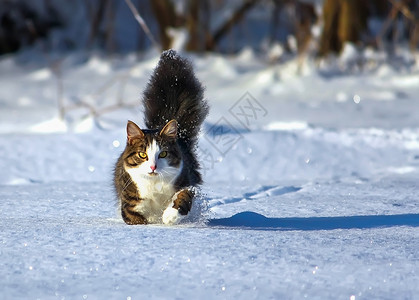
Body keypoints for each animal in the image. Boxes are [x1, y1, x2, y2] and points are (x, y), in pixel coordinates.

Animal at [114, 50, 209, 225]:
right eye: (142, 154)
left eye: (163, 154)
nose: (153, 167)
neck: (154, 185)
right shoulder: (130, 201)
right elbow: (135, 217)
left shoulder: (185, 181)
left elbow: (183, 196)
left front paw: (170, 216)